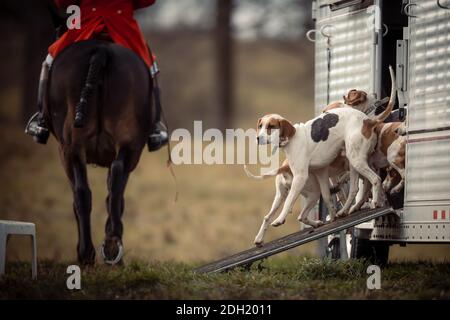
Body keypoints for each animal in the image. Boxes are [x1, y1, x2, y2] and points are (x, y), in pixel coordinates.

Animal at [45, 39, 155, 264]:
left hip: (73, 149)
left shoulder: (65, 153)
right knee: (111, 179)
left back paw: (90, 252)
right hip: (124, 146)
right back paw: (110, 243)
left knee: (85, 193)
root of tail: (101, 50)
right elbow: (113, 195)